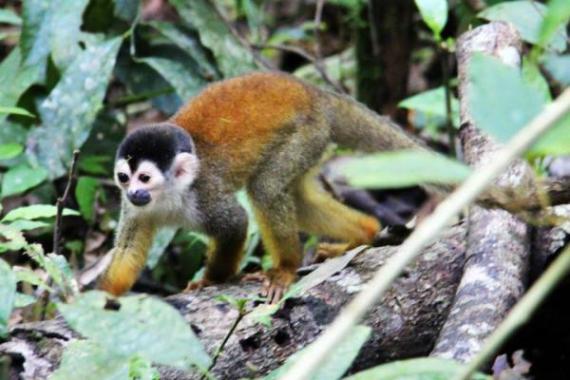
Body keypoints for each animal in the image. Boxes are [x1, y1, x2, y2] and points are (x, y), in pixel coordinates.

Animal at [98, 70, 434, 302]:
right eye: (124, 178)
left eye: (145, 178)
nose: (133, 191)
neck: (168, 196)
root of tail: (313, 92)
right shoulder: (134, 209)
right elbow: (127, 250)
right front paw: (100, 300)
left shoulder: (204, 195)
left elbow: (235, 224)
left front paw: (211, 281)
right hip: (313, 142)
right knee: (296, 197)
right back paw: (362, 233)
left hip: (304, 134)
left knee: (266, 189)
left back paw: (286, 267)